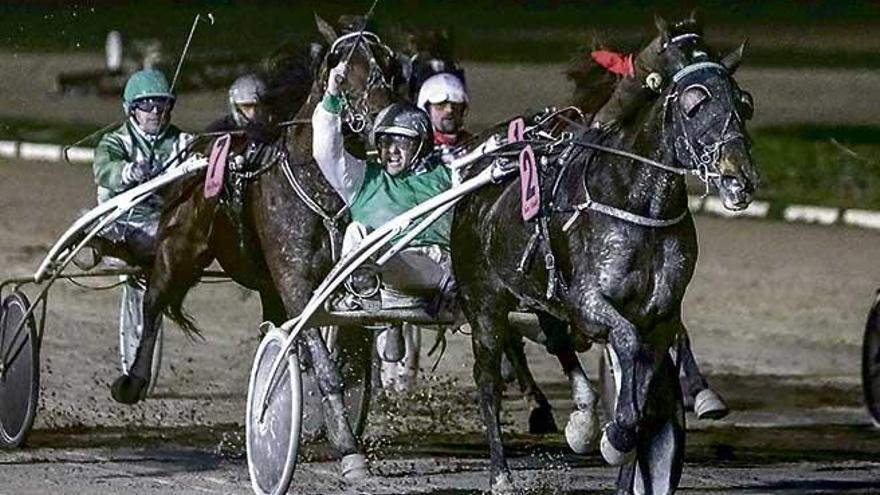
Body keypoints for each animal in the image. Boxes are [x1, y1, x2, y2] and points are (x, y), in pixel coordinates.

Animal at [106, 18, 402, 480]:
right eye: (340, 68)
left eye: (390, 64)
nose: (383, 121)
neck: (323, 186)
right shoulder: (296, 282)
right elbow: (326, 366)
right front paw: (347, 449)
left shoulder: (352, 285)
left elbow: (349, 359)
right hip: (181, 248)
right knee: (153, 301)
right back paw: (132, 380)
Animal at [454, 17, 756, 494]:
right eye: (694, 102)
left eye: (744, 103)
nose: (738, 178)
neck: (639, 205)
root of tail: (475, 189)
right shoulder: (588, 302)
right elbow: (626, 340)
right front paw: (614, 438)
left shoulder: (661, 315)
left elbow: (643, 386)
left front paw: (624, 443)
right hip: (484, 304)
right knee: (487, 381)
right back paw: (501, 472)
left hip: (540, 297)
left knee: (555, 340)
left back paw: (580, 417)